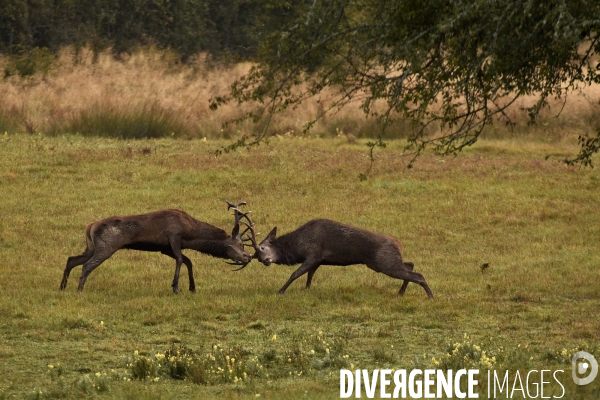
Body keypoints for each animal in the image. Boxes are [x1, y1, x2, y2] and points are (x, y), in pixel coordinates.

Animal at [58, 203, 251, 294]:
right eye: (240, 244)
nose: (248, 256)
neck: (191, 233)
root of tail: (90, 226)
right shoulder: (174, 236)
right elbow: (181, 259)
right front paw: (175, 287)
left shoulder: (165, 248)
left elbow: (187, 261)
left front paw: (192, 287)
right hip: (106, 246)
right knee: (86, 265)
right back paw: (79, 290)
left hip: (91, 247)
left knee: (72, 259)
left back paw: (62, 287)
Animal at [229, 208, 432, 298]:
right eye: (256, 257)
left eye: (262, 248)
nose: (266, 261)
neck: (297, 247)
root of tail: (398, 244)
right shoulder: (318, 260)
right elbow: (309, 276)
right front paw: (307, 289)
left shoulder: (313, 254)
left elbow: (296, 273)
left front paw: (280, 291)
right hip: (381, 262)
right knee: (410, 265)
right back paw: (401, 292)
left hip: (384, 262)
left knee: (418, 274)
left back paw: (430, 296)